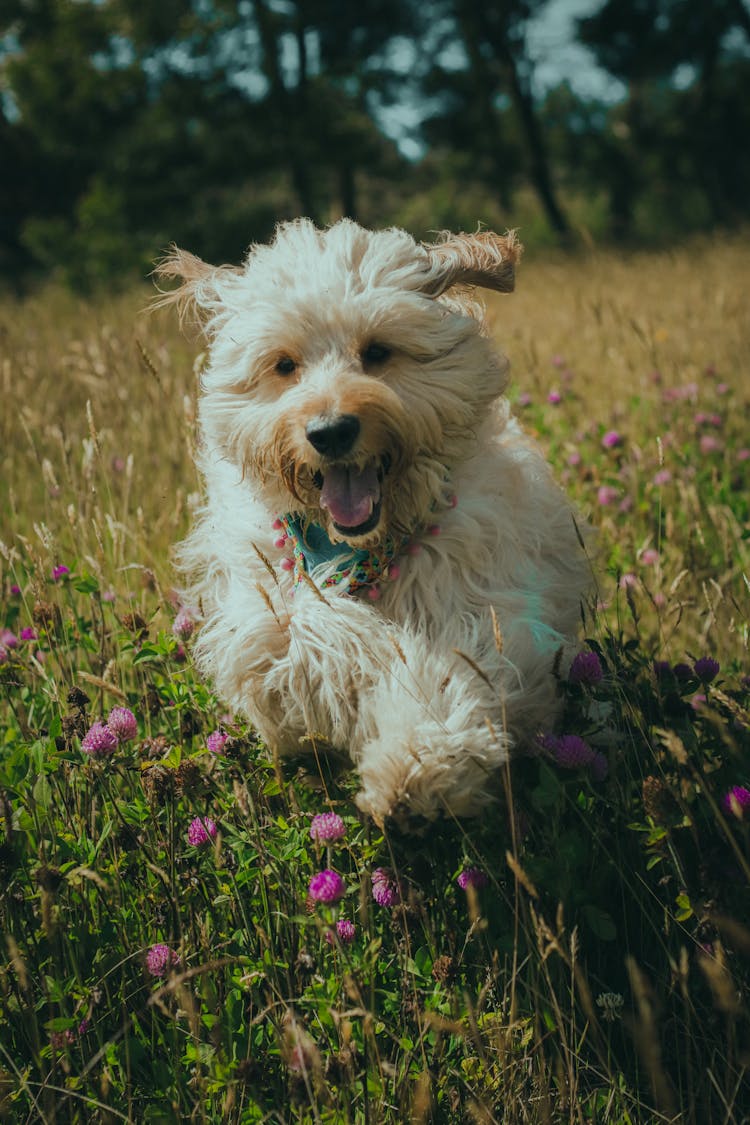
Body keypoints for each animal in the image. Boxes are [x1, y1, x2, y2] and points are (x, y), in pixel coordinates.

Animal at [158, 221, 593, 828]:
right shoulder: (261, 607)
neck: (362, 549)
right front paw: (367, 648)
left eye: (378, 351)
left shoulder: (490, 607)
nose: (330, 431)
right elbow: (309, 631)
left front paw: (418, 769)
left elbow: (449, 672)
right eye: (284, 365)